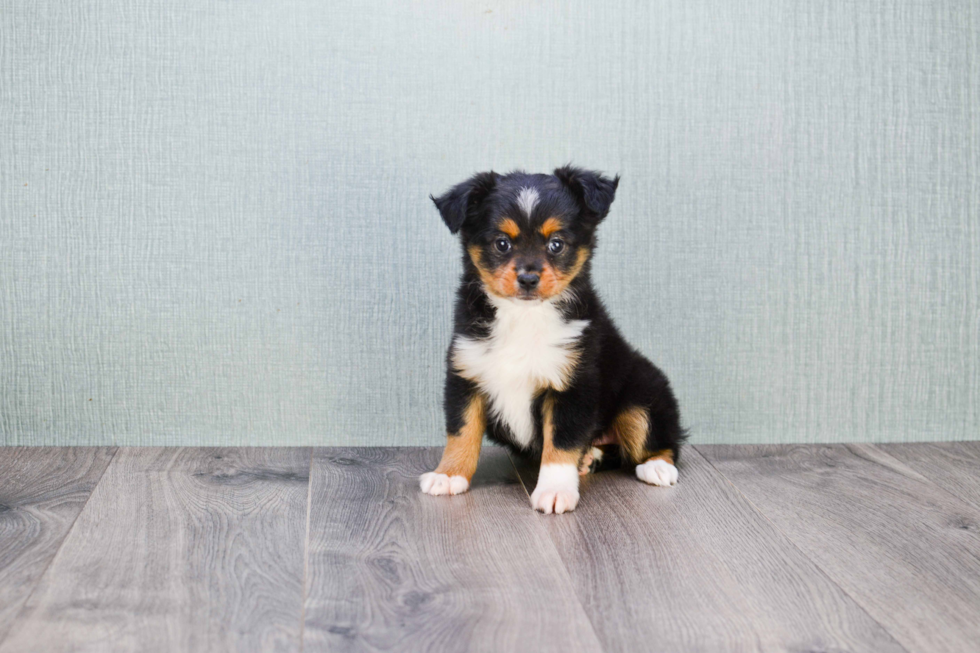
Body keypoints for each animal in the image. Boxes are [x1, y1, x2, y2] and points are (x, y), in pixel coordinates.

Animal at [422, 166, 688, 512]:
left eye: (556, 244)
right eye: (502, 243)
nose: (528, 278)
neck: (524, 316)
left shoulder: (573, 383)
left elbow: (561, 442)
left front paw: (555, 490)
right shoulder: (466, 372)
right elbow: (461, 431)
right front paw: (449, 474)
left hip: (644, 392)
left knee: (661, 438)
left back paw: (657, 466)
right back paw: (591, 458)